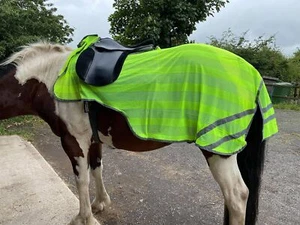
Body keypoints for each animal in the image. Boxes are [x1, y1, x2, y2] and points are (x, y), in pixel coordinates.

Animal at [0, 40, 276, 225]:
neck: (50, 77)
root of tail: (253, 74)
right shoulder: (93, 140)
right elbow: (97, 169)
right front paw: (100, 204)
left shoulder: (73, 141)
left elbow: (82, 180)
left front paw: (83, 218)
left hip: (217, 147)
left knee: (237, 196)